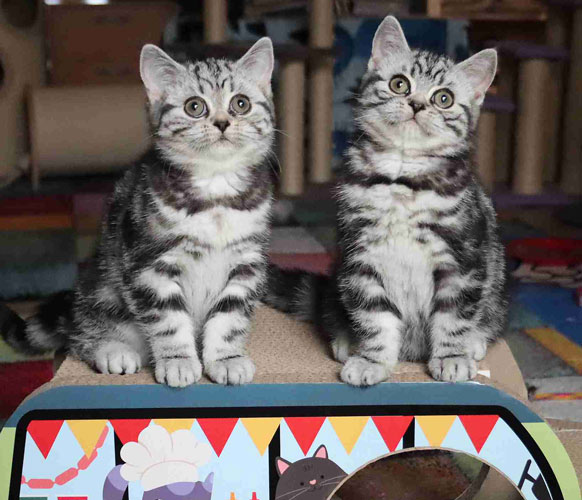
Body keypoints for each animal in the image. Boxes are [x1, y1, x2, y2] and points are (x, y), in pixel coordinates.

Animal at [0, 38, 276, 387]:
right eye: (194, 107)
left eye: (241, 104)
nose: (223, 123)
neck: (215, 191)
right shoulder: (149, 262)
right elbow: (169, 320)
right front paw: (178, 361)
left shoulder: (247, 263)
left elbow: (230, 316)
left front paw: (227, 358)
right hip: (101, 289)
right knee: (79, 336)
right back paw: (111, 350)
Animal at [265, 16, 507, 386]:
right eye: (399, 84)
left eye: (444, 98)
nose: (417, 104)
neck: (401, 179)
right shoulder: (361, 255)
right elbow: (375, 317)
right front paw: (373, 360)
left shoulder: (463, 258)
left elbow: (453, 316)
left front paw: (451, 356)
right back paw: (346, 338)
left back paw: (474, 341)